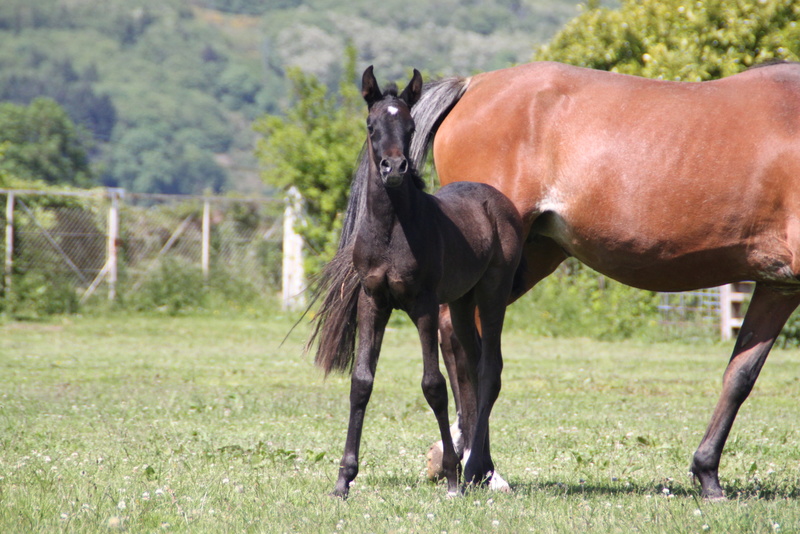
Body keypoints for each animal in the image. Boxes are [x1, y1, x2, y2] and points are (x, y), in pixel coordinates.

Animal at [318, 68, 524, 502]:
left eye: (411, 126)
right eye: (371, 125)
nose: (393, 168)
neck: (391, 231)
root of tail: (497, 200)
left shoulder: (424, 305)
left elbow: (434, 385)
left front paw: (450, 478)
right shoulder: (372, 301)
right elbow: (361, 382)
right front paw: (344, 480)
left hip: (493, 293)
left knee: (490, 369)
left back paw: (472, 470)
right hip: (462, 301)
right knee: (472, 364)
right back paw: (475, 467)